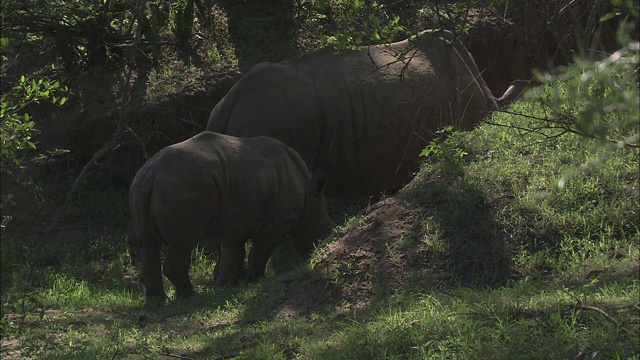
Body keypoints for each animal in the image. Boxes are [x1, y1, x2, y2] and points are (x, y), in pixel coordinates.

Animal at [127, 131, 332, 300]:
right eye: (327, 228)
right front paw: (256, 280)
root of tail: (150, 175)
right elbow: (259, 251)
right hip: (179, 188)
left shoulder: (235, 220)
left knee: (148, 244)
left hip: (142, 187)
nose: (322, 246)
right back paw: (189, 295)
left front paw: (225, 285)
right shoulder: (277, 222)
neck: (307, 191)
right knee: (183, 243)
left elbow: (233, 253)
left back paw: (157, 301)